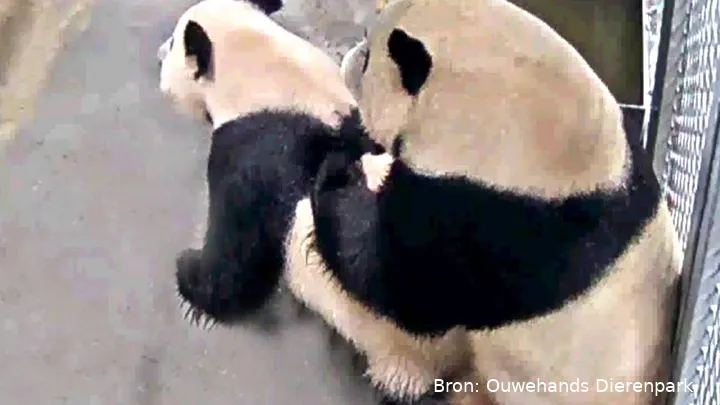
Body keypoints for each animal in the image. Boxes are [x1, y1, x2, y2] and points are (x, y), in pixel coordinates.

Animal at [156, 1, 473, 404]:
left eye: (173, 43)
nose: (160, 52)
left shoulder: (253, 155)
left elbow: (237, 262)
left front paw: (188, 273)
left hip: (401, 347)